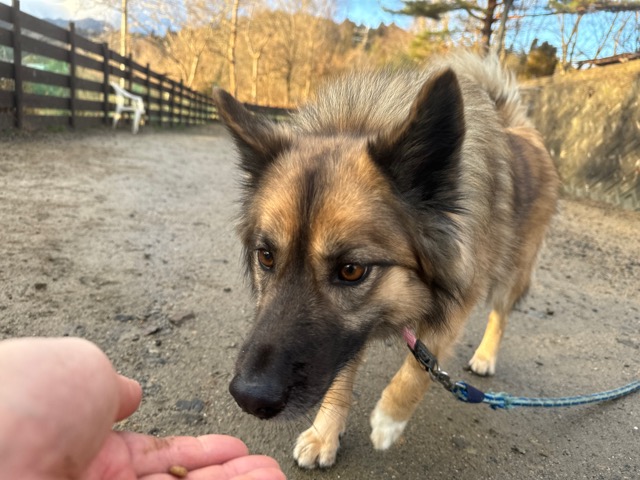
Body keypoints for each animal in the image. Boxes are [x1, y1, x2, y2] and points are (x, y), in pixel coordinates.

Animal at [212, 52, 560, 469]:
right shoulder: (353, 330)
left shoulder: (455, 300)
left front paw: (390, 421)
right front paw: (325, 434)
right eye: (266, 256)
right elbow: (341, 375)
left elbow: (416, 371)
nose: (249, 397)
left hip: (512, 272)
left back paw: (485, 356)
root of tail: (518, 128)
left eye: (351, 270)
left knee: (501, 314)